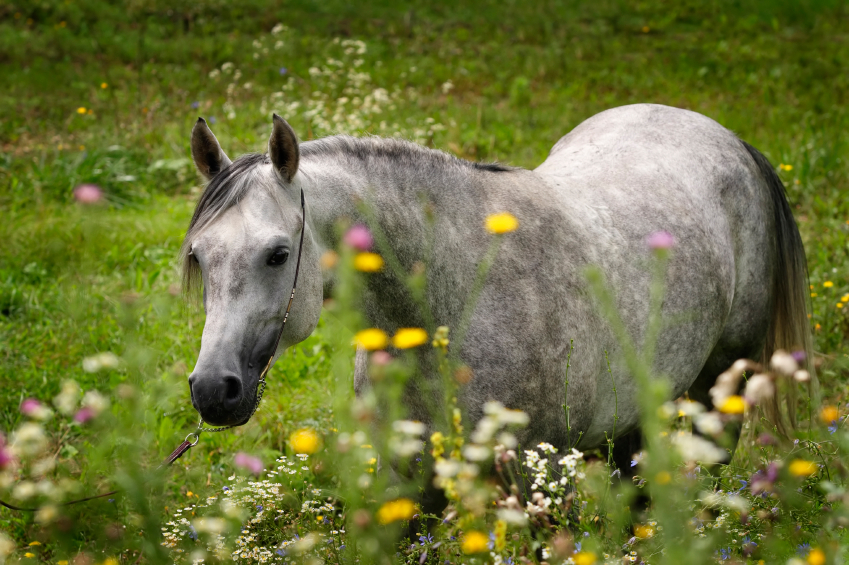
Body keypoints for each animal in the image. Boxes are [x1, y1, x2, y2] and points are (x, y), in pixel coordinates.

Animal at [181, 104, 811, 473]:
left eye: (277, 254)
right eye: (199, 256)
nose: (213, 389)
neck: (453, 302)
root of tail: (729, 139)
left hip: (720, 387)